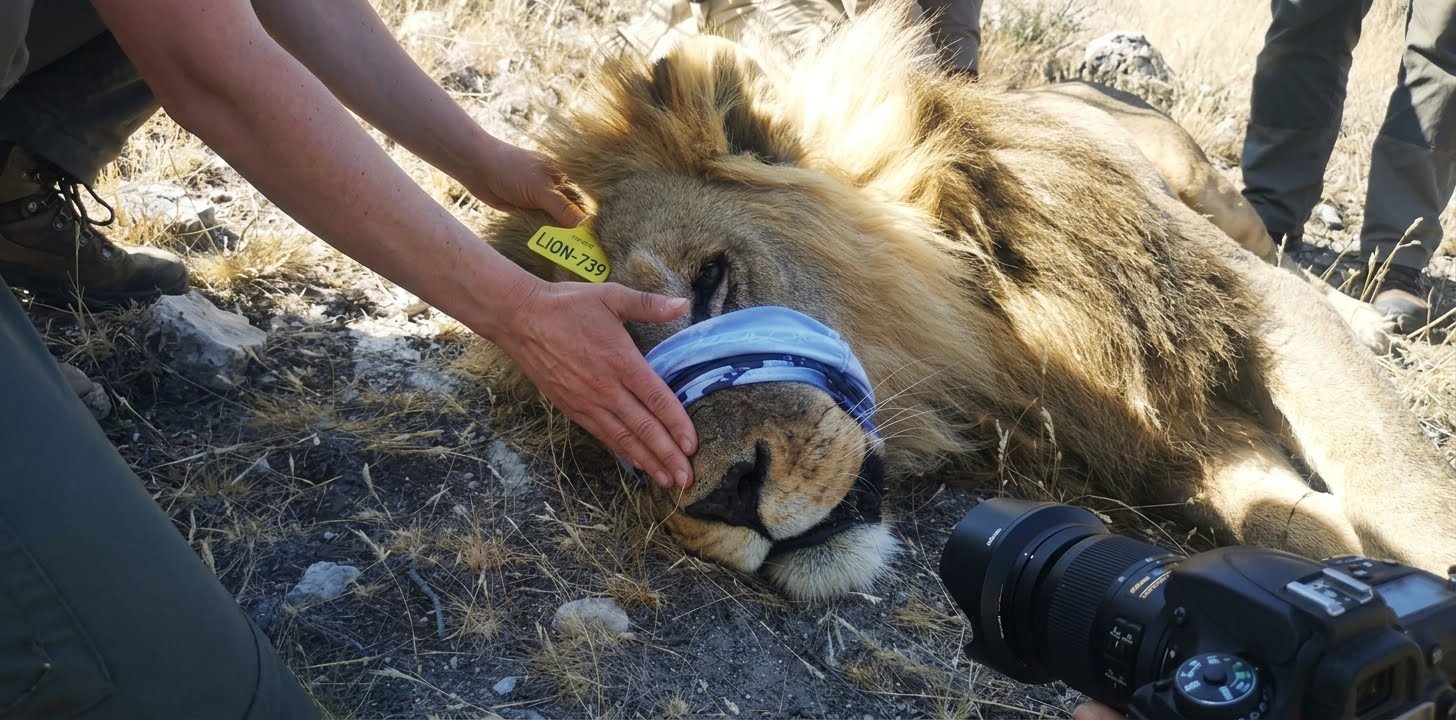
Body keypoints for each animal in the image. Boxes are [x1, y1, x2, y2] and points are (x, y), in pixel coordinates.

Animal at [478, 2, 1456, 600]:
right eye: (599, 406)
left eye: (713, 281)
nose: (726, 499)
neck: (998, 328)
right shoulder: (1156, 442)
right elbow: (1288, 522)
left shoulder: (1246, 307)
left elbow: (1395, 476)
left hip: (1211, 193)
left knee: (1290, 258)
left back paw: (1380, 314)